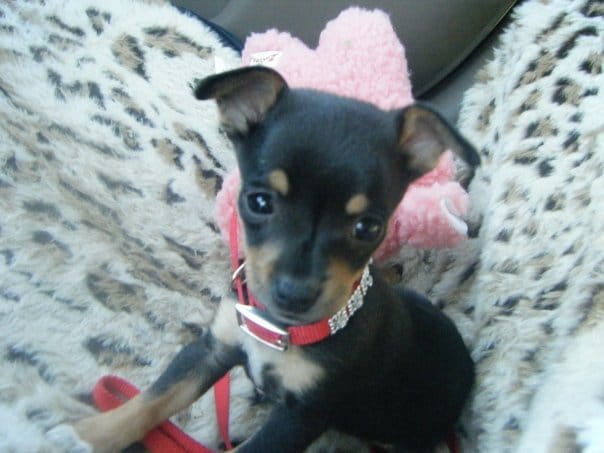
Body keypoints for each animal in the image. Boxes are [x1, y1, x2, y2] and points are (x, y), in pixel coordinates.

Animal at [73, 66, 477, 452]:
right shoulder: (212, 349)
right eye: (259, 201)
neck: (280, 330)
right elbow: (155, 399)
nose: (294, 295)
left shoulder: (302, 415)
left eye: (367, 227)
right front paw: (88, 433)